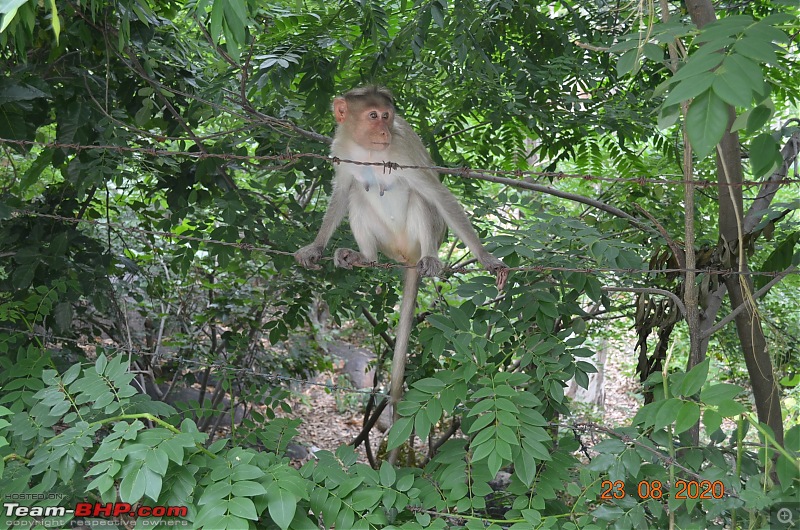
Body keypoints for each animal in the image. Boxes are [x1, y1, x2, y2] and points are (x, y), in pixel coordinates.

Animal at [294, 84, 506, 456]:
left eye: (387, 116)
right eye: (373, 116)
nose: (383, 131)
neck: (366, 149)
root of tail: (407, 257)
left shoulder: (401, 148)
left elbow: (437, 192)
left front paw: (485, 257)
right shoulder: (340, 149)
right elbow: (341, 191)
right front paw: (316, 247)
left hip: (418, 239)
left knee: (424, 198)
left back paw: (431, 258)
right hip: (389, 246)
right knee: (357, 194)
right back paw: (362, 256)